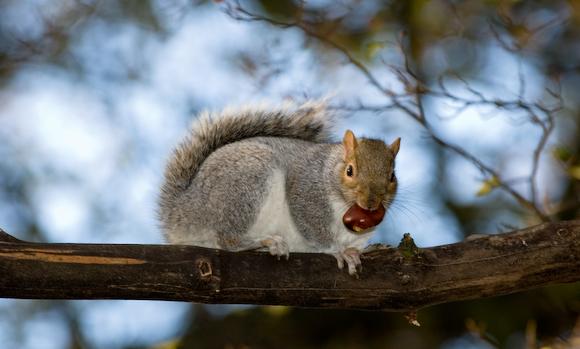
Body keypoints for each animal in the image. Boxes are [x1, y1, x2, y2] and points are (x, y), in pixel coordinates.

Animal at [160, 101, 404, 274]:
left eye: (392, 176)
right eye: (350, 171)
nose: (371, 204)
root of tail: (180, 212)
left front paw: (367, 250)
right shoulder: (305, 190)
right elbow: (314, 228)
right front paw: (339, 251)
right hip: (245, 186)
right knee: (227, 240)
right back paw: (264, 242)